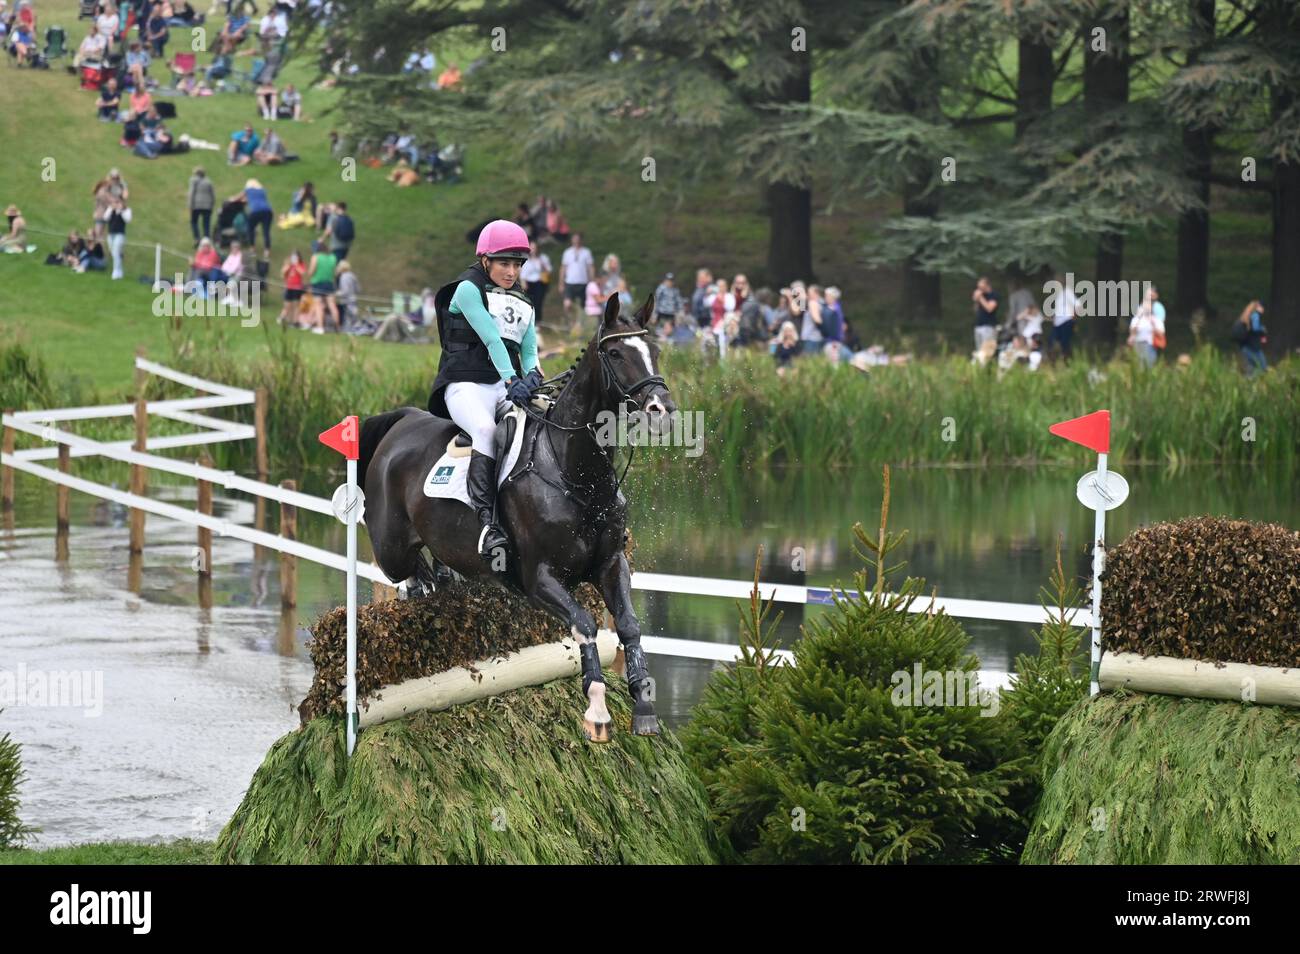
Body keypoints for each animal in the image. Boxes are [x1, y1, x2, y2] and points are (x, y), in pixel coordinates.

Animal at [357, 292, 677, 741]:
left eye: (656, 350)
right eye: (615, 354)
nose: (661, 409)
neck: (575, 472)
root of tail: (402, 422)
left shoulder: (612, 563)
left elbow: (629, 624)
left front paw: (644, 705)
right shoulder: (539, 578)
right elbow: (584, 623)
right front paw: (596, 709)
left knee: (436, 568)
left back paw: (444, 581)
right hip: (391, 548)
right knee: (408, 570)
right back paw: (425, 586)